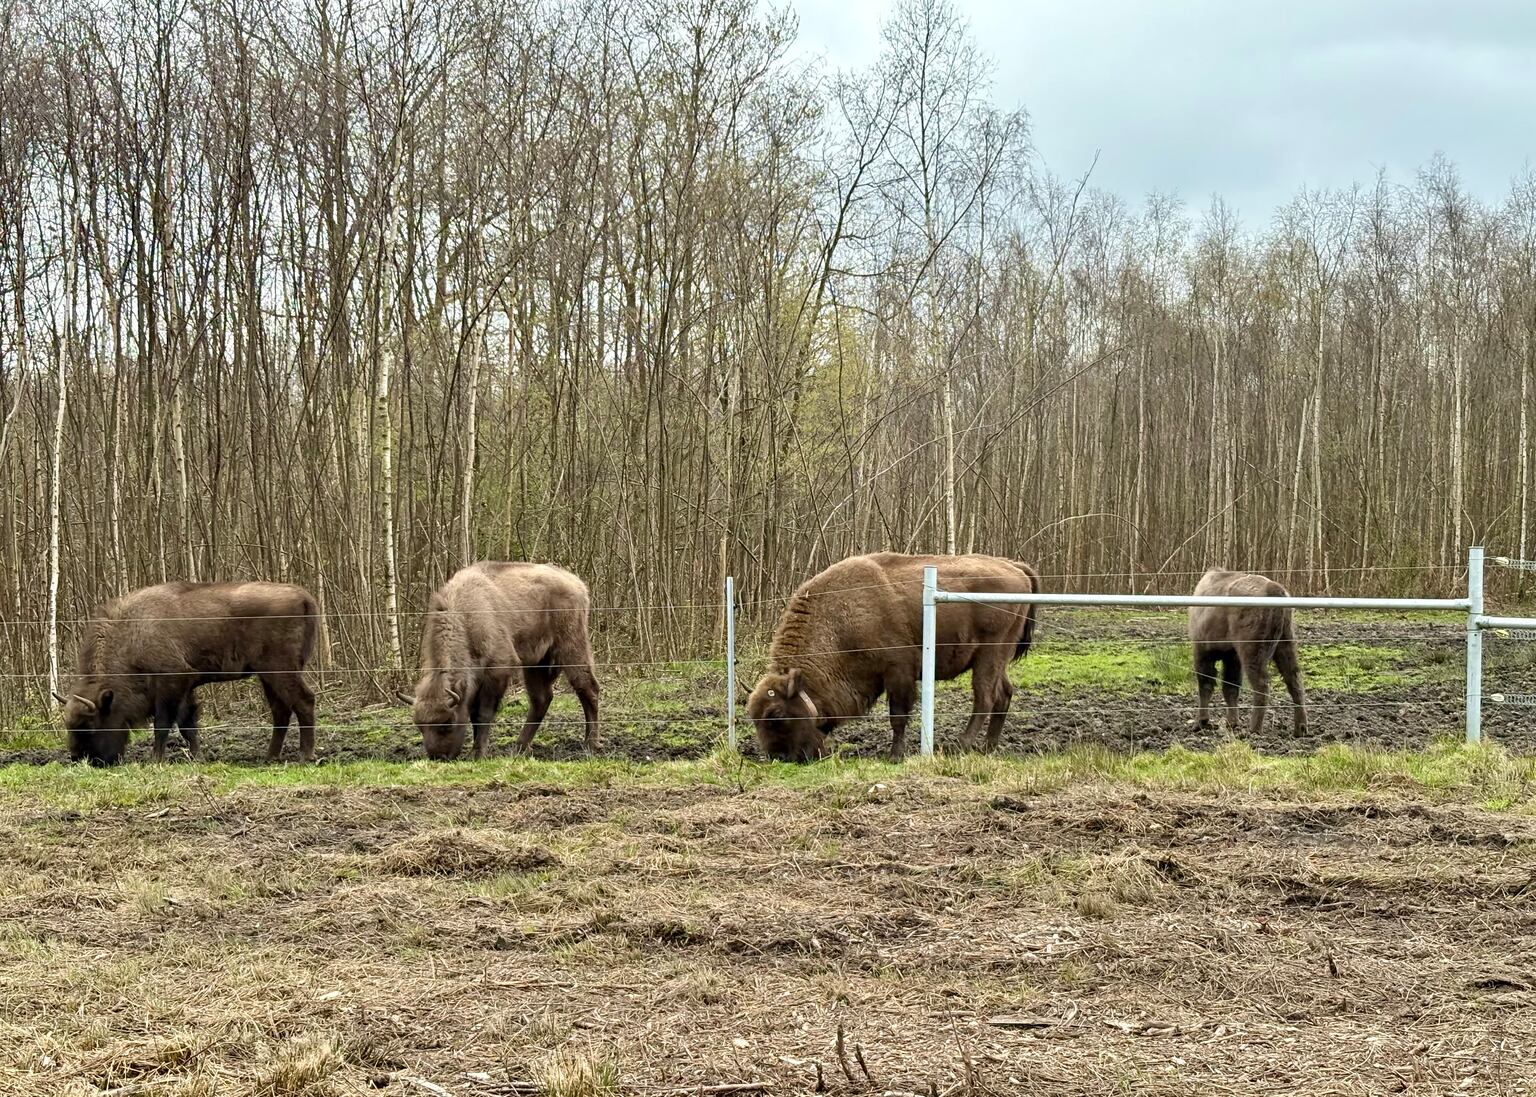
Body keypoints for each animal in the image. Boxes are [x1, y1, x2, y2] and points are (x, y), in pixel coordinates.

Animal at [58, 581, 319, 765]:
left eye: (90, 725)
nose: (80, 758)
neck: (133, 633)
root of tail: (303, 597)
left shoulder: (171, 682)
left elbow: (163, 723)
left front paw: (156, 759)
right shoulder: (185, 687)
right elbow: (187, 724)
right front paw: (197, 757)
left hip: (281, 669)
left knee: (303, 701)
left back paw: (305, 756)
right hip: (268, 675)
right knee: (281, 710)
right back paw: (270, 756)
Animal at [406, 562, 601, 759]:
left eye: (447, 723)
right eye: (420, 727)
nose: (438, 756)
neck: (465, 616)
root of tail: (576, 584)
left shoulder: (498, 670)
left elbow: (483, 714)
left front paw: (478, 753)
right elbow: (474, 715)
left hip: (572, 647)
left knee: (587, 688)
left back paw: (591, 744)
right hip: (535, 664)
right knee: (541, 698)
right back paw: (520, 747)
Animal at [746, 552, 1040, 761]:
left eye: (776, 714)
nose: (779, 757)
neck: (841, 622)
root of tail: (1016, 568)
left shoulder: (898, 672)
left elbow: (897, 716)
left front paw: (895, 755)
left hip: (990, 653)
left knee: (985, 697)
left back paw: (961, 745)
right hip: (999, 658)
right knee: (1003, 694)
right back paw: (989, 747)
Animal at [1189, 568, 1308, 736]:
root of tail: (1274, 589)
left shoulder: (1203, 651)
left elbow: (1206, 685)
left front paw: (1201, 722)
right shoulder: (1232, 657)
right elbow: (1230, 687)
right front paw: (1232, 722)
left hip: (1252, 652)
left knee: (1262, 685)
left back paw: (1253, 730)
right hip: (1286, 643)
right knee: (1294, 681)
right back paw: (1300, 728)